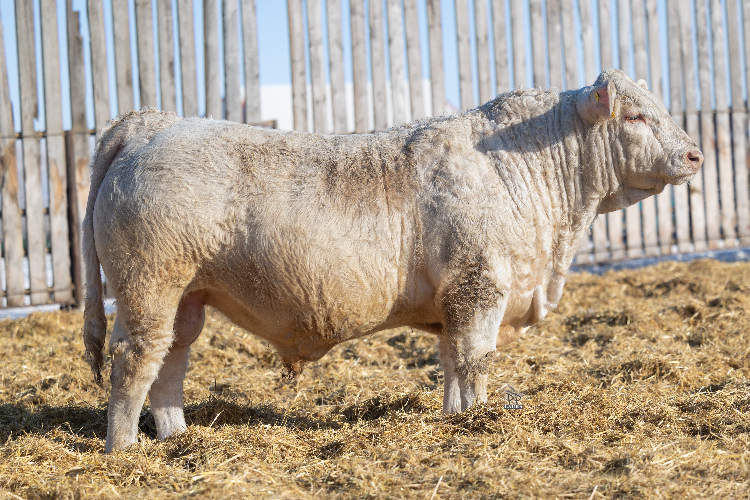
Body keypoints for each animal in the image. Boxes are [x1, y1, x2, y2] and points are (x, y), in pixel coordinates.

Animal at [82, 69, 703, 452]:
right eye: (636, 117)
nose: (695, 154)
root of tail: (154, 122)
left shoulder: (455, 301)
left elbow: (451, 363)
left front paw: (455, 418)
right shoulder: (481, 287)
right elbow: (474, 361)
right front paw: (479, 420)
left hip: (186, 296)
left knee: (171, 362)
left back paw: (177, 439)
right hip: (149, 284)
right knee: (135, 361)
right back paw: (124, 450)